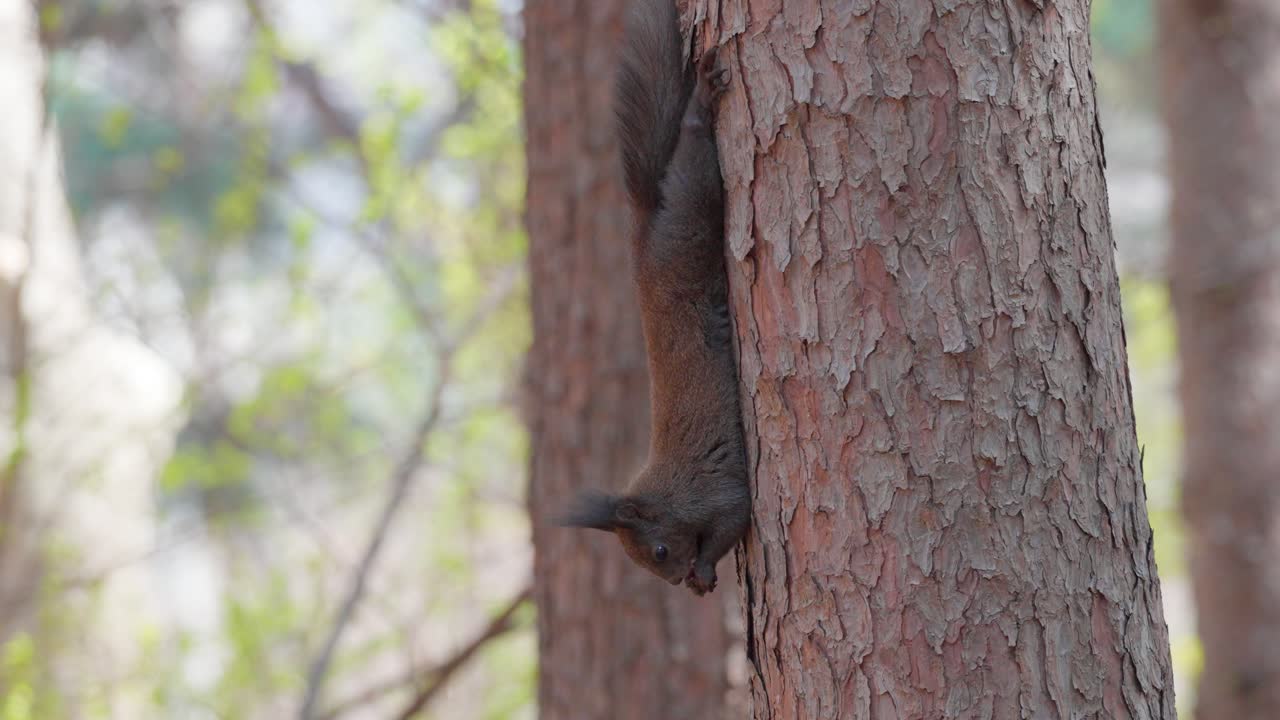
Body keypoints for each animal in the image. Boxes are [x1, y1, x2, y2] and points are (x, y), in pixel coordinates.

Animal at [557, 0, 750, 597]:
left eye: (660, 550)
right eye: (650, 561)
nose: (676, 579)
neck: (669, 492)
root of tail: (642, 238)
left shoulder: (719, 491)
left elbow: (732, 524)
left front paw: (705, 569)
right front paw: (702, 580)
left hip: (691, 214)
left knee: (693, 153)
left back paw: (702, 105)